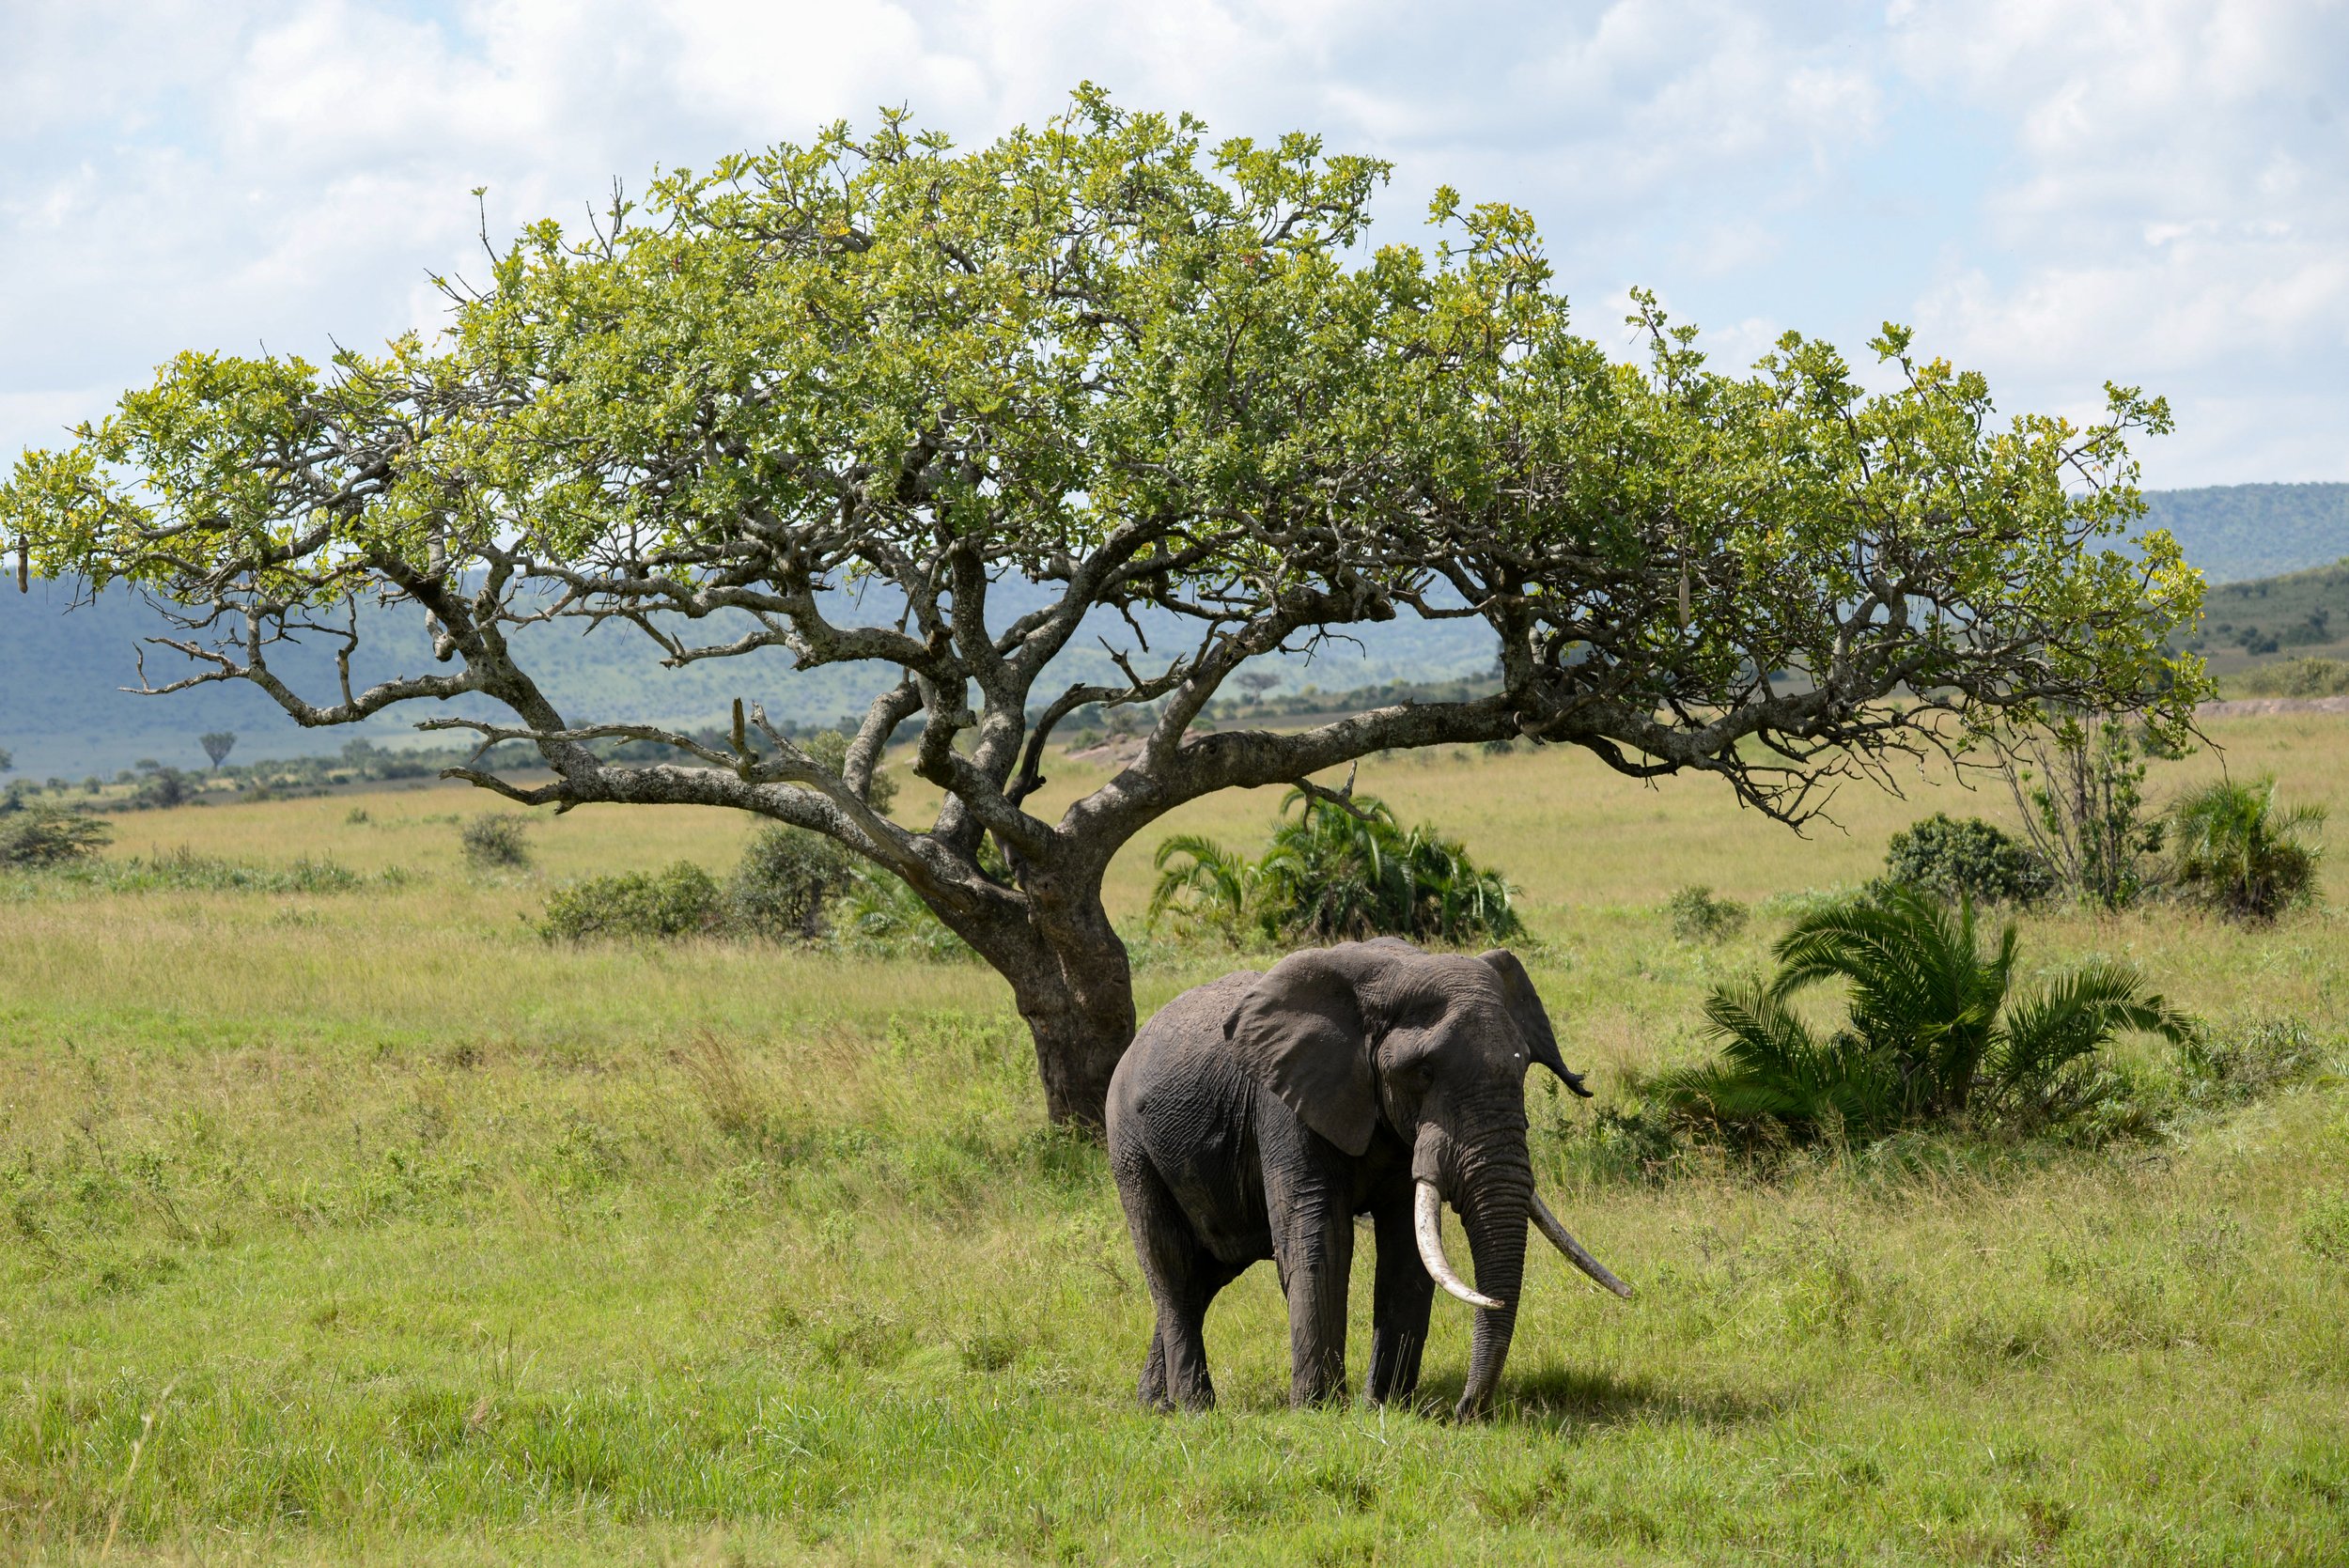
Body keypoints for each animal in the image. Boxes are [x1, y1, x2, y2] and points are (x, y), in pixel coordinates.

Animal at [1104, 939, 1635, 1427]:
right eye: (1422, 1072)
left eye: (1524, 1064)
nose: (1464, 1413)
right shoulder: (1284, 1106)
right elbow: (1319, 1239)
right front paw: (1319, 1413)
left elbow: (1407, 1247)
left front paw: (1386, 1408)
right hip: (1131, 1148)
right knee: (1171, 1265)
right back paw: (1195, 1411)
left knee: (1205, 1275)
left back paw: (1155, 1405)